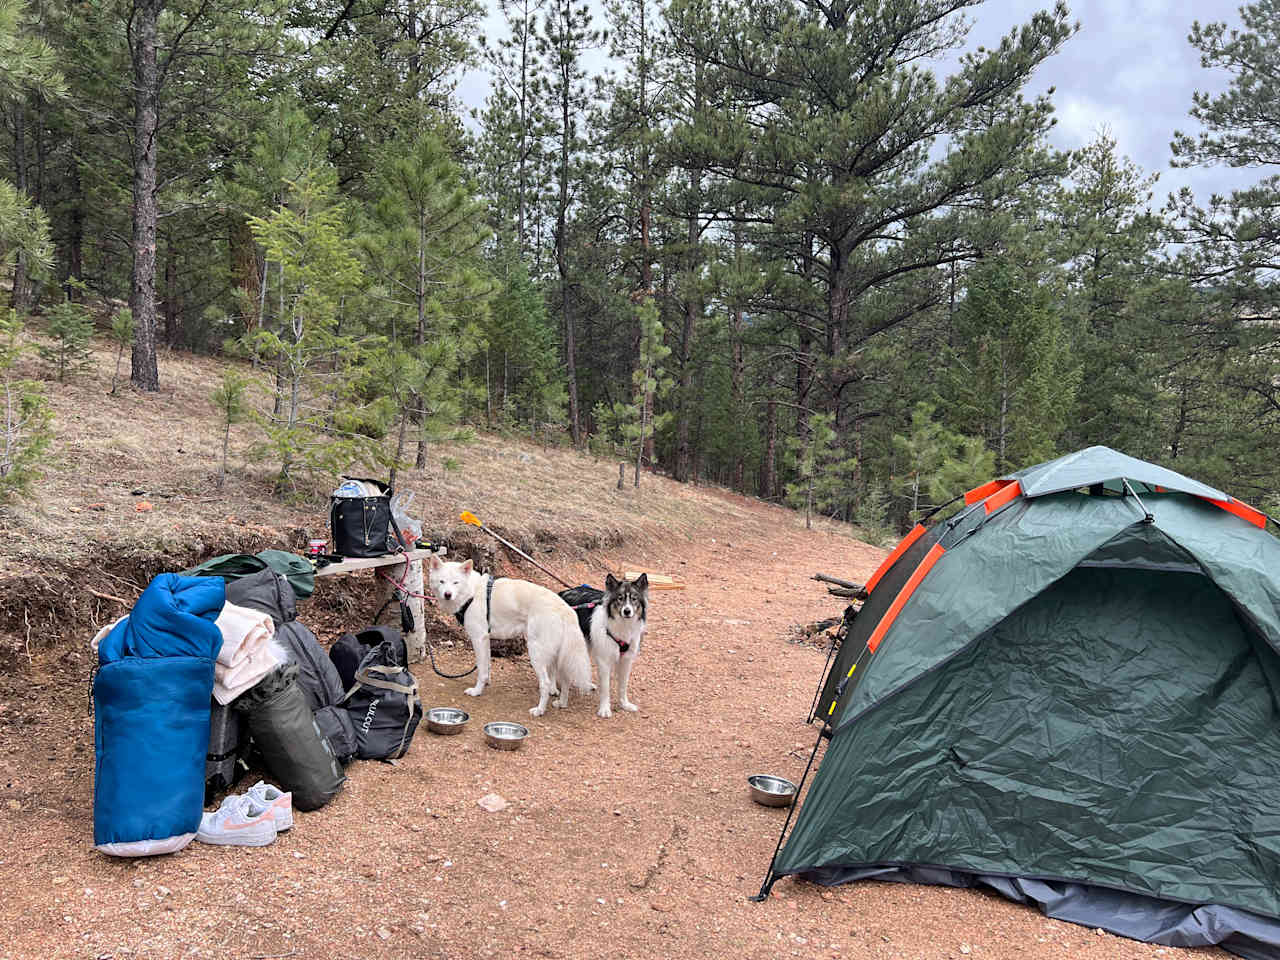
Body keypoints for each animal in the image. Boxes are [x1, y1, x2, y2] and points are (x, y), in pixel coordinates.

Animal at [427, 552, 591, 716]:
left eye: (456, 582)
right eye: (442, 581)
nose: (447, 594)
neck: (472, 593)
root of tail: (564, 607)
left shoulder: (478, 639)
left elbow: (481, 670)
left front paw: (477, 691)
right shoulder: (486, 640)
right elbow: (486, 666)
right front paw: (486, 683)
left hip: (536, 653)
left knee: (545, 683)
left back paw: (539, 710)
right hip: (556, 654)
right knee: (565, 680)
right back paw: (561, 703)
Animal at [588, 576, 650, 716]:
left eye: (634, 598)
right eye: (620, 598)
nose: (627, 611)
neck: (623, 625)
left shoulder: (626, 661)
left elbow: (623, 685)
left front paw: (624, 704)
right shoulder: (604, 661)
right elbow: (606, 687)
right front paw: (605, 709)